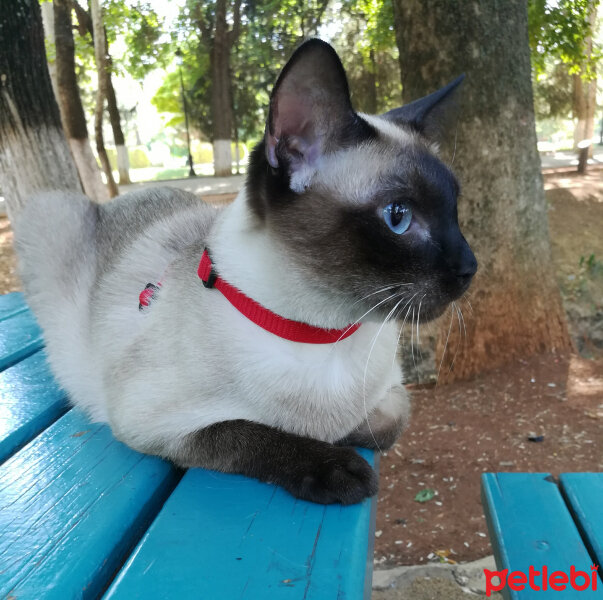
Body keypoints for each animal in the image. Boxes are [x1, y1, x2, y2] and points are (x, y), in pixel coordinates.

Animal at [14, 39, 476, 504]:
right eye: (399, 217)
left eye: (454, 212)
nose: (470, 267)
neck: (323, 336)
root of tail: (123, 198)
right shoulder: (150, 422)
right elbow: (248, 432)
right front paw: (338, 466)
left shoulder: (393, 393)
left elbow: (385, 425)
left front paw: (343, 434)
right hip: (48, 212)